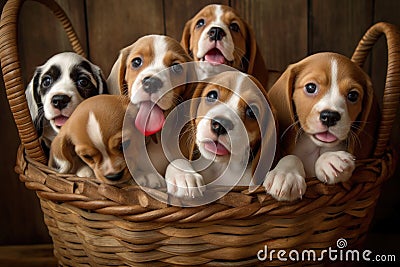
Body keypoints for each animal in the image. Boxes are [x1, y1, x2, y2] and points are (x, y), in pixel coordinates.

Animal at [266, 52, 376, 202]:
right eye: (311, 87)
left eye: (353, 95)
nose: (330, 116)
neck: (316, 148)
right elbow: (291, 157)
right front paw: (285, 175)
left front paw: (331, 159)